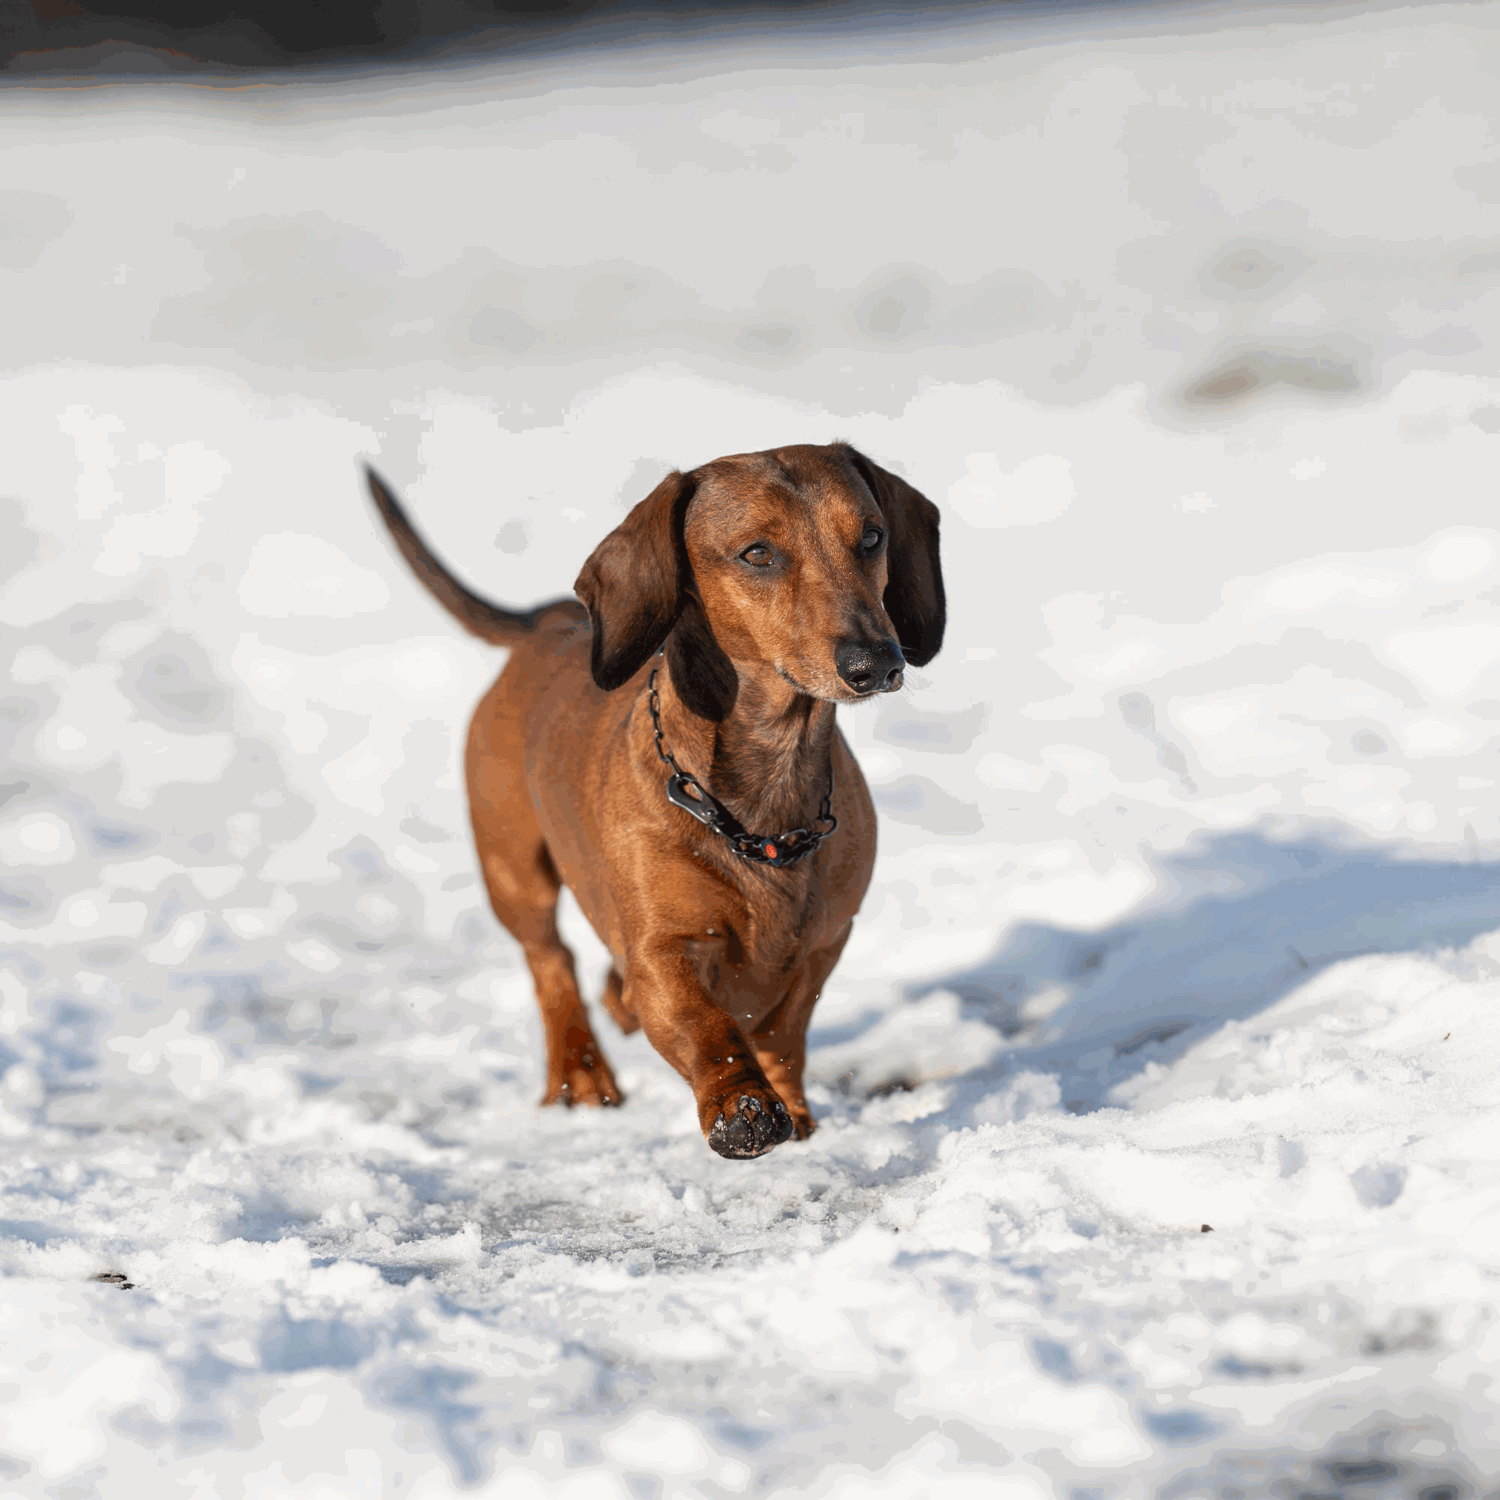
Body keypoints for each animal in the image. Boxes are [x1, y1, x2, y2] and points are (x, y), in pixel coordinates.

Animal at [364, 444, 942, 1158]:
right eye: (757, 553)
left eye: (871, 538)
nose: (878, 663)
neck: (762, 801)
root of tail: (548, 623)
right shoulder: (663, 950)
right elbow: (703, 1026)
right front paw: (744, 1105)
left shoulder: (824, 943)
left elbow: (783, 1032)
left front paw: (792, 1107)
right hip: (515, 872)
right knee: (551, 964)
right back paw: (580, 1074)